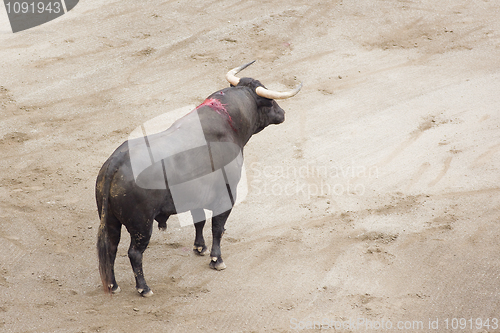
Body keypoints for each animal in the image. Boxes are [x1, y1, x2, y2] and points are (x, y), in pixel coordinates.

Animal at [96, 60, 302, 296]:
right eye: (268, 101)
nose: (282, 113)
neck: (228, 122)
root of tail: (115, 163)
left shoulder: (195, 196)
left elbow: (199, 220)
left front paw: (199, 247)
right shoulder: (226, 195)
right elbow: (217, 227)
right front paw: (216, 259)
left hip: (110, 220)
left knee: (110, 247)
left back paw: (113, 285)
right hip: (142, 225)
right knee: (134, 253)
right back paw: (144, 287)